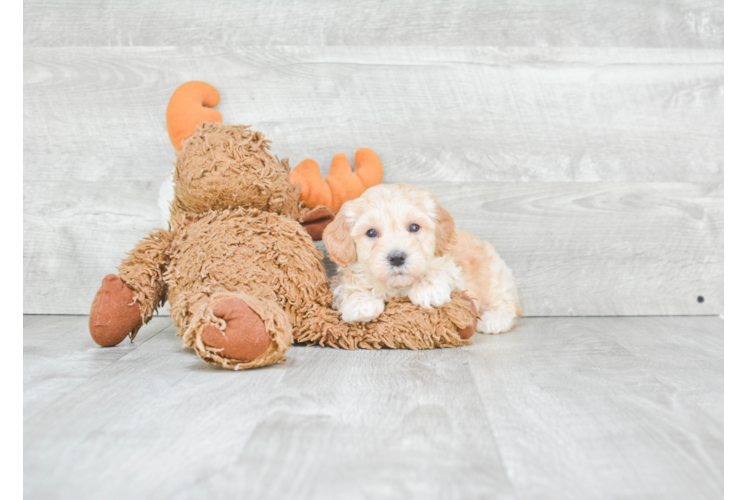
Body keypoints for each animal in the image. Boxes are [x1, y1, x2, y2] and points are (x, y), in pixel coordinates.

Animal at [322, 183, 520, 332]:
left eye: (414, 227)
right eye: (371, 232)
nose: (397, 258)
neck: (398, 287)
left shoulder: (454, 269)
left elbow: (439, 269)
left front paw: (428, 289)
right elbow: (351, 285)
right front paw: (360, 304)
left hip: (493, 275)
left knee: (505, 300)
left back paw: (494, 319)